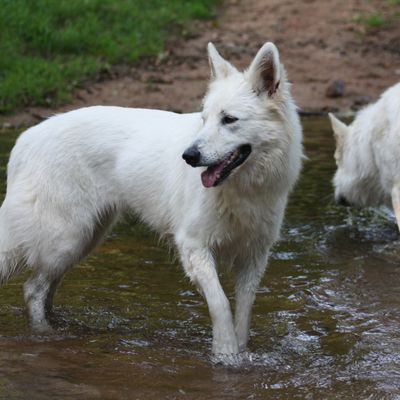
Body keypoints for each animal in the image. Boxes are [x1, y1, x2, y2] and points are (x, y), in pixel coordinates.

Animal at [0, 42, 302, 356]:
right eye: (204, 119)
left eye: (229, 119)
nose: (188, 156)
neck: (241, 189)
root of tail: (25, 140)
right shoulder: (193, 247)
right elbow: (220, 304)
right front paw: (226, 354)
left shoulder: (253, 258)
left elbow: (243, 314)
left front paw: (241, 352)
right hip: (65, 239)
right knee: (33, 290)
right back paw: (44, 333)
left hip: (82, 241)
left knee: (45, 288)